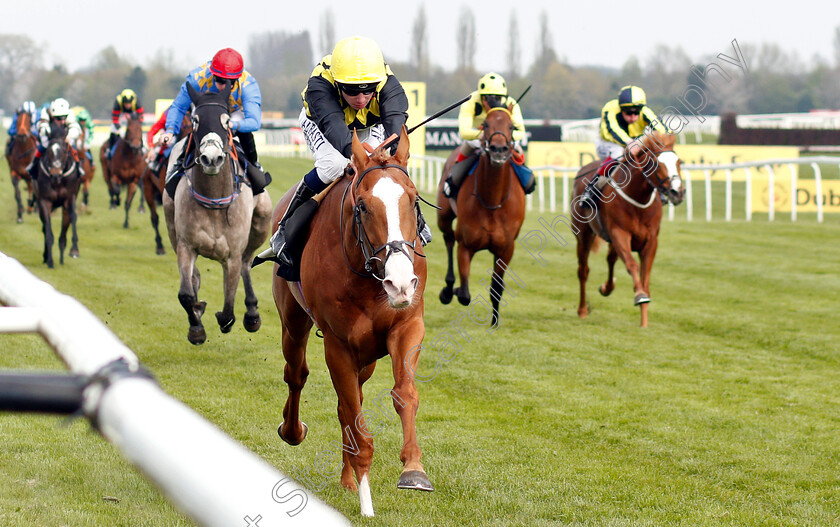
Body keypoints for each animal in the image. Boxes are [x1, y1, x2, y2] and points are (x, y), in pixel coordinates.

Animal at [35, 126, 81, 270]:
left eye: (64, 150)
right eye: (49, 150)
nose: (55, 175)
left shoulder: (70, 198)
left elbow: (73, 218)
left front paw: (74, 249)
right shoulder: (44, 201)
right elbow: (48, 231)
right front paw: (50, 261)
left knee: (65, 226)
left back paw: (61, 257)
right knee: (45, 227)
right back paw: (47, 256)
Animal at [162, 83, 270, 346]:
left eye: (227, 121)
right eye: (196, 120)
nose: (211, 158)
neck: (213, 200)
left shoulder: (232, 254)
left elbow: (229, 309)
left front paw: (227, 317)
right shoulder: (186, 245)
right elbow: (186, 295)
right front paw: (196, 326)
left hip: (262, 222)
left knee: (247, 262)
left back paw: (252, 314)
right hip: (170, 224)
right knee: (195, 277)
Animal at [272, 129, 434, 520]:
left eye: (413, 200)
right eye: (362, 206)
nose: (400, 282)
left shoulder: (407, 325)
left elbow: (403, 394)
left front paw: (414, 469)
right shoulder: (338, 344)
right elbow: (355, 418)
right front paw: (366, 502)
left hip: (368, 355)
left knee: (349, 402)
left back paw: (347, 477)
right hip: (294, 322)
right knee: (297, 375)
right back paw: (293, 430)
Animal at [440, 106, 524, 326]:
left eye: (512, 126)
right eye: (485, 124)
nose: (498, 150)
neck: (492, 202)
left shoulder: (506, 249)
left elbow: (497, 288)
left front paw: (494, 323)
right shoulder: (466, 245)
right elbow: (464, 294)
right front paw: (454, 290)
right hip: (443, 216)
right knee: (448, 238)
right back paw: (448, 288)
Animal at [572, 131, 684, 326]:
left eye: (679, 162)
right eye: (657, 164)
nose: (678, 192)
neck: (638, 199)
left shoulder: (650, 240)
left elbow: (645, 276)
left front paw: (644, 323)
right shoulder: (620, 234)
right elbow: (632, 265)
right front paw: (639, 296)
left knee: (610, 259)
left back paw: (606, 288)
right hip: (584, 235)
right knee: (583, 270)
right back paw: (583, 310)